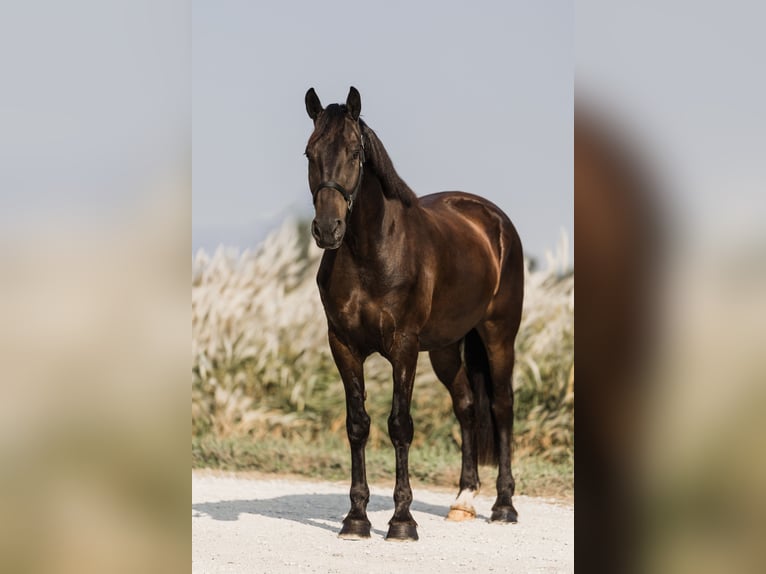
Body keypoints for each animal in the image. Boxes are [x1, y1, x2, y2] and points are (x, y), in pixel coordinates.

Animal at [304, 86, 524, 541]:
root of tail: (494, 222)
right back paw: (463, 501)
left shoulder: (402, 347)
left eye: (355, 152)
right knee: (467, 406)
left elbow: (399, 424)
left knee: (501, 407)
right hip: (445, 347)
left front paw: (401, 521)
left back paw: (504, 506)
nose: (328, 229)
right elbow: (358, 424)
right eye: (309, 153)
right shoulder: (344, 346)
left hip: (499, 335)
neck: (371, 254)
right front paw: (356, 518)